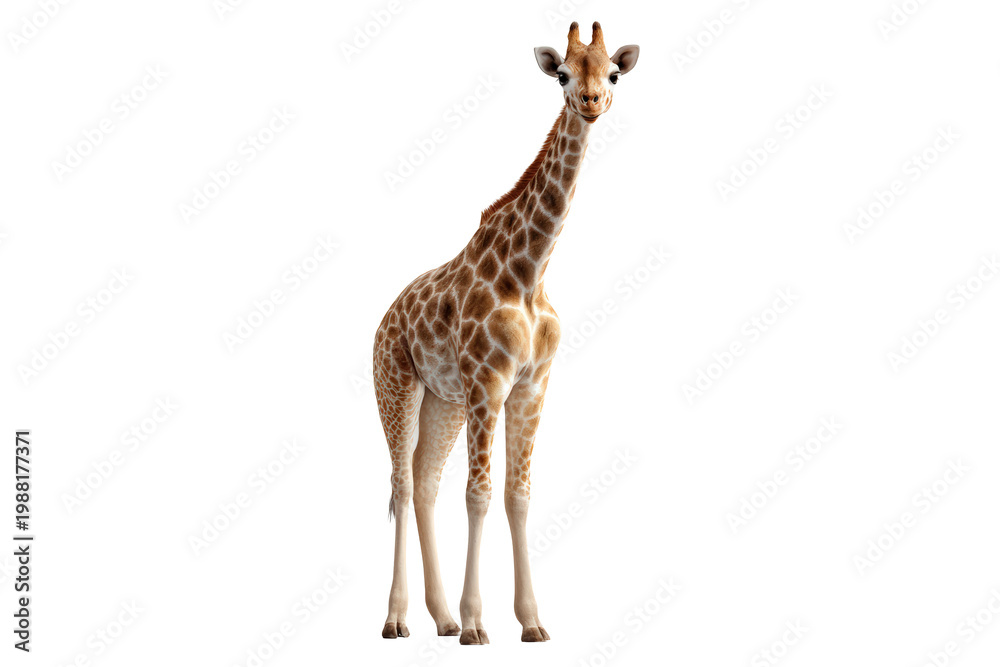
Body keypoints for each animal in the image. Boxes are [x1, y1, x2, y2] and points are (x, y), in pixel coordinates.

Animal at [373, 21, 639, 644]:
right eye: (562, 73)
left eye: (613, 73)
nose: (591, 101)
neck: (531, 271)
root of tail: (383, 320)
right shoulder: (486, 384)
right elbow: (479, 494)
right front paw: (477, 624)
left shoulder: (530, 386)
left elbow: (517, 496)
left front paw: (530, 621)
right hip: (398, 387)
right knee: (400, 484)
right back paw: (398, 620)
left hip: (442, 402)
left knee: (424, 483)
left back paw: (440, 618)